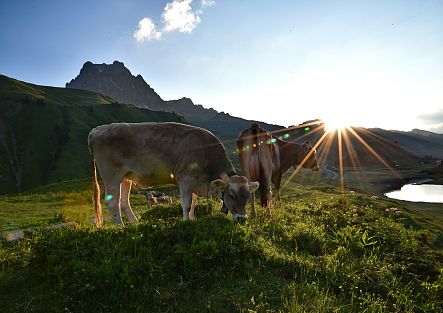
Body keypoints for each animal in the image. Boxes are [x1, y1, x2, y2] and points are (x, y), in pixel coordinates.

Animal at [88, 120, 258, 225]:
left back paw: (135, 224)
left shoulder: (194, 183)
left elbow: (194, 204)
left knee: (124, 202)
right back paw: (121, 227)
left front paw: (192, 220)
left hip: (126, 177)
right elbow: (187, 204)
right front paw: (186, 222)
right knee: (112, 202)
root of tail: (96, 130)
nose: (242, 218)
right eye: (231, 195)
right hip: (112, 175)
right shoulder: (186, 179)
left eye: (247, 196)